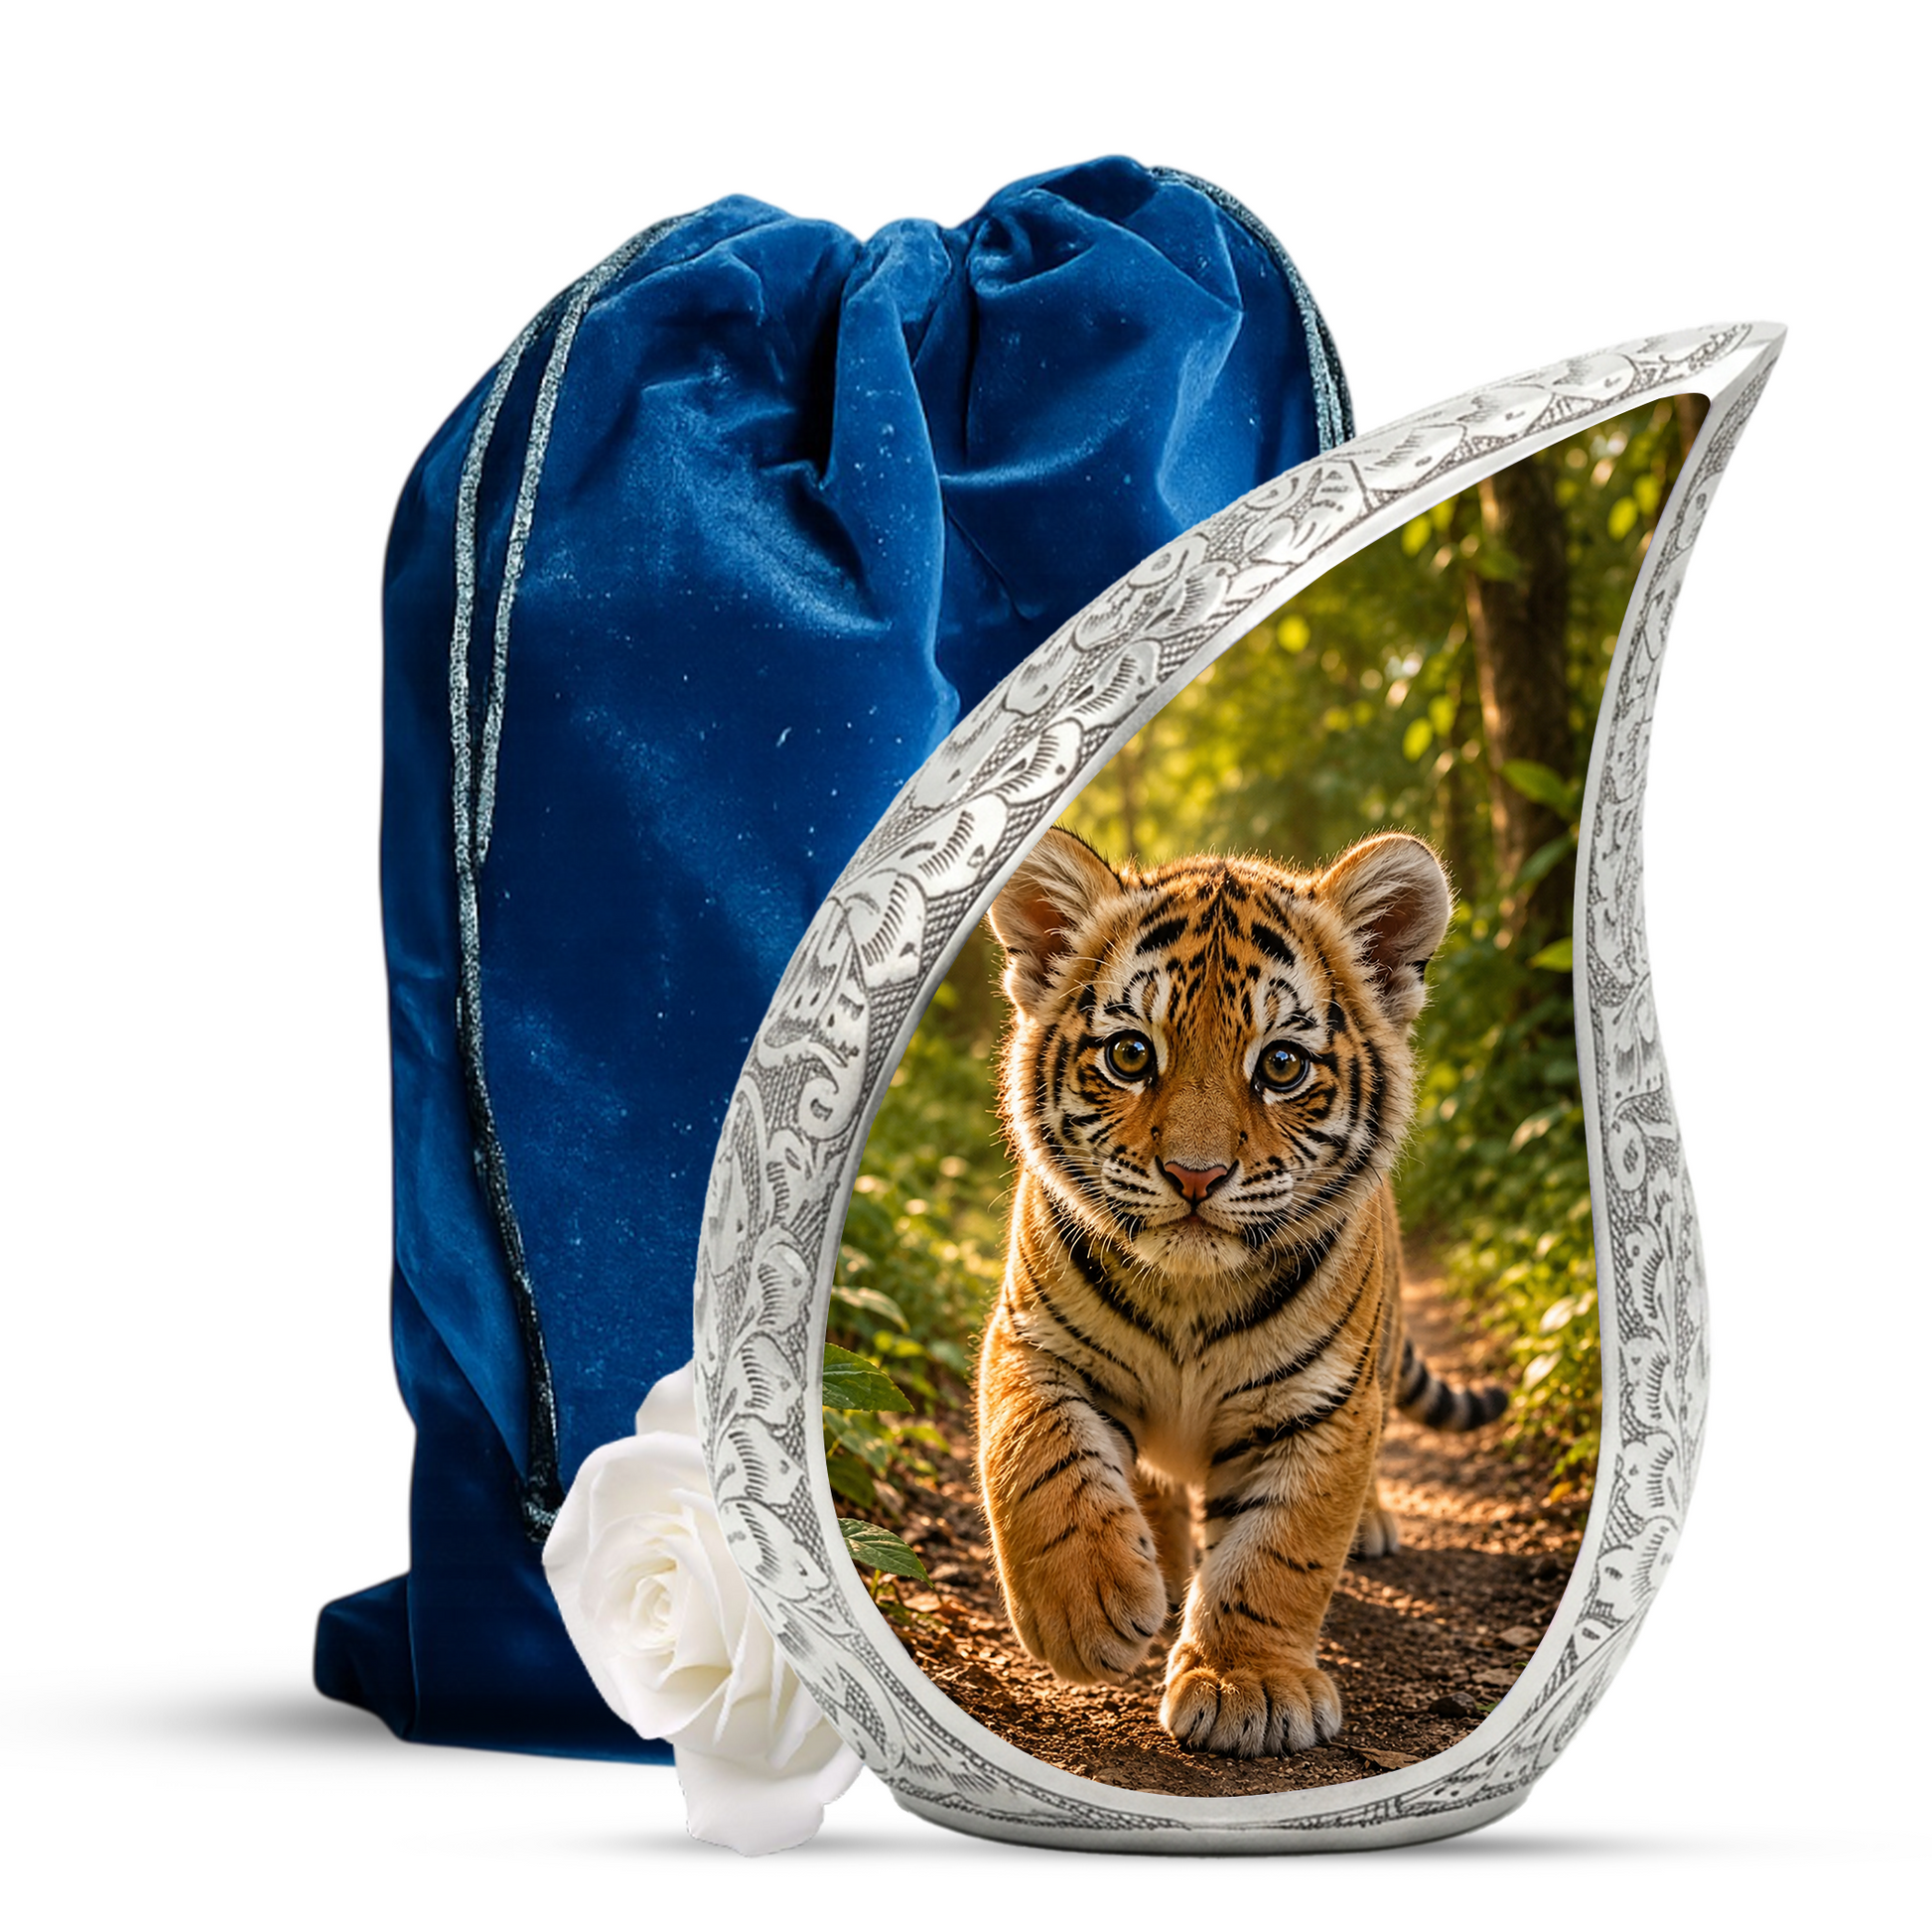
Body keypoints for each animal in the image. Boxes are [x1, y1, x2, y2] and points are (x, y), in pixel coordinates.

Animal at [975, 826, 1506, 1758]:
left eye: (1282, 1066)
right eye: (1130, 1055)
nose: (1196, 1175)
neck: (1191, 1294)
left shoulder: (1320, 1404)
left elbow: (1279, 1549)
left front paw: (1244, 1685)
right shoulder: (1032, 1342)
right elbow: (1037, 1459)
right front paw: (1087, 1612)